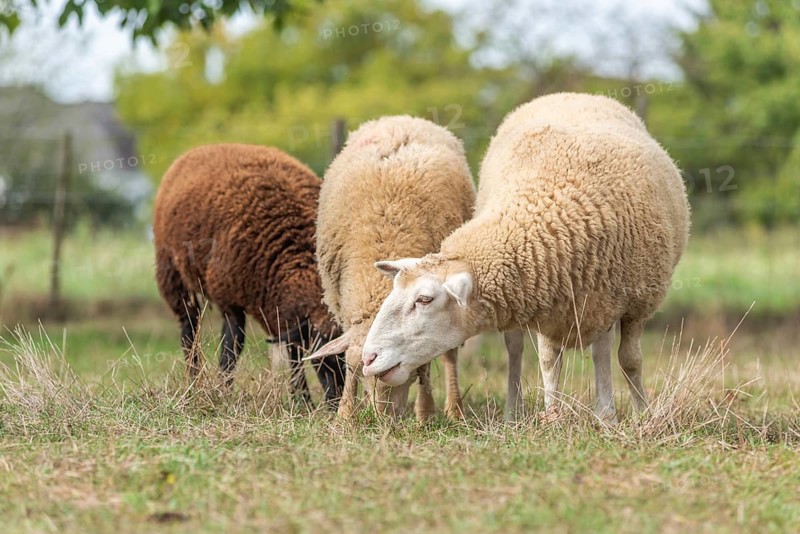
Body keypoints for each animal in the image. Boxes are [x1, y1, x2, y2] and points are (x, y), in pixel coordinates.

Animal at [153, 143, 345, 405]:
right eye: (320, 359)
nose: (336, 402)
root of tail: (207, 147)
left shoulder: (286, 316)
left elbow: (293, 352)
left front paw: (301, 401)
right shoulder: (229, 299)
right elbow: (232, 347)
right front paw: (223, 392)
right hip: (172, 275)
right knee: (189, 330)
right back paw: (193, 382)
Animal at [304, 116, 476, 420]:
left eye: (402, 370)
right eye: (361, 371)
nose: (384, 419)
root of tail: (402, 119)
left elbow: (428, 364)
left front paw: (425, 413)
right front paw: (346, 416)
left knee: (449, 355)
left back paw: (453, 409)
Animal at [361, 93, 691, 423]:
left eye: (424, 299)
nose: (368, 358)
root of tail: (572, 94)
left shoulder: (632, 305)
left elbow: (628, 360)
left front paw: (633, 415)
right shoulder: (551, 304)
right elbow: (548, 360)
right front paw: (553, 416)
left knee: (602, 351)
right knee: (517, 350)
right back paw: (512, 412)